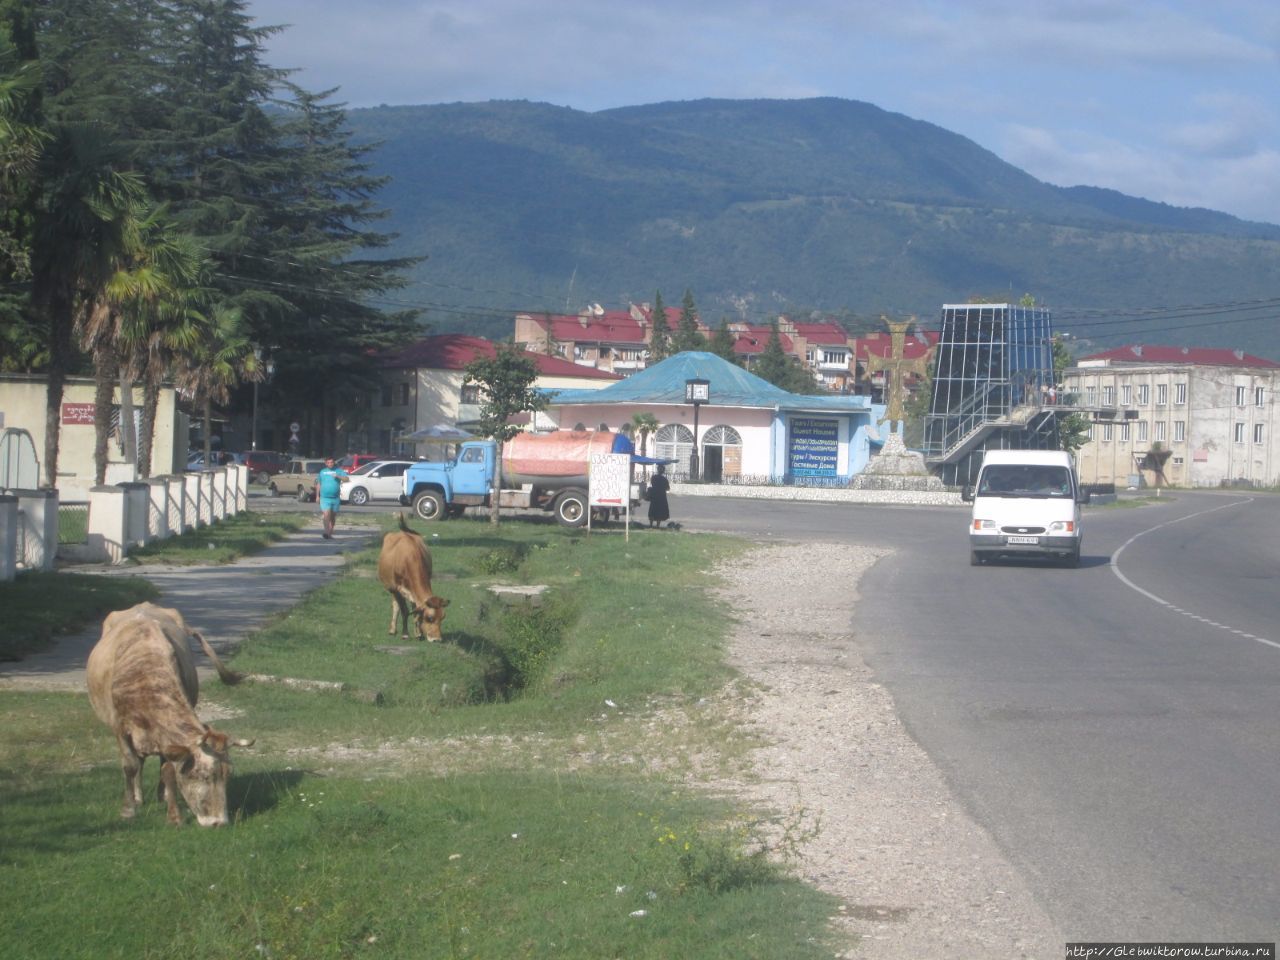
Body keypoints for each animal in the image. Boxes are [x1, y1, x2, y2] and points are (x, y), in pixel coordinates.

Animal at [86, 604, 248, 829]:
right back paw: (137, 797)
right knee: (136, 762)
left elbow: (168, 770)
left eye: (228, 775)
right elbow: (129, 765)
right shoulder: (120, 728)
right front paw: (128, 809)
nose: (220, 822)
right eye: (203, 776)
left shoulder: (167, 740)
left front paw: (173, 815)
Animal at [373, 514, 450, 642]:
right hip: (392, 588)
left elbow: (416, 612)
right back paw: (392, 629)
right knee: (396, 606)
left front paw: (418, 633)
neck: (410, 558)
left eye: (442, 617)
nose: (437, 639)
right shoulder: (398, 588)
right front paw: (405, 633)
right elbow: (405, 611)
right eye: (429, 618)